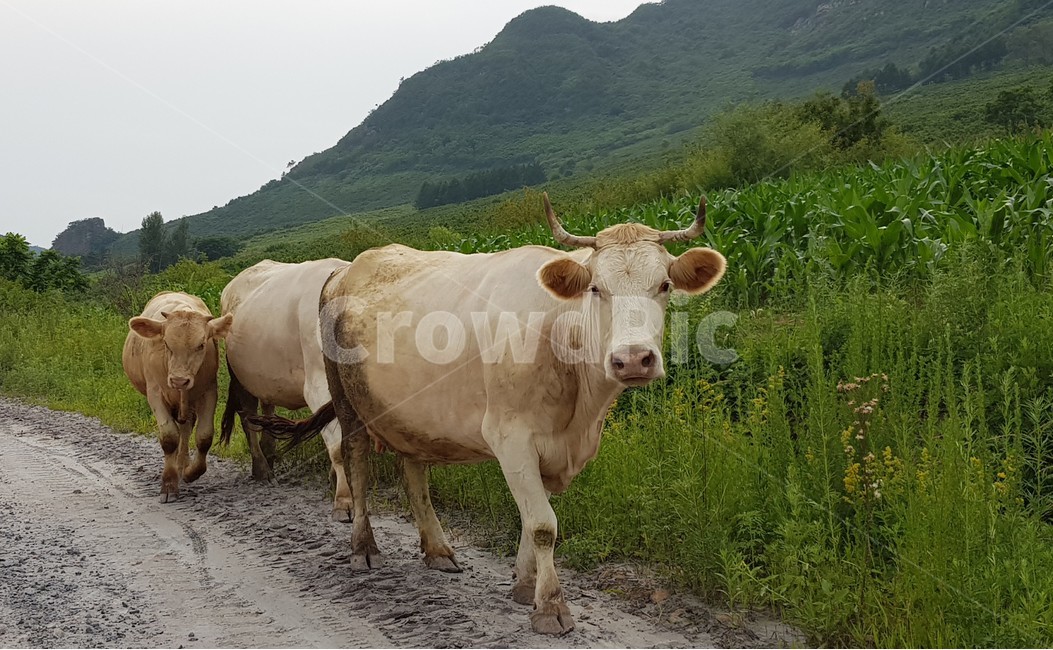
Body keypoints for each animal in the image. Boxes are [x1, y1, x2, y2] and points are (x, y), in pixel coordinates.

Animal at [122, 291, 232, 503]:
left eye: (201, 345)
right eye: (166, 343)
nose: (179, 380)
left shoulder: (209, 392)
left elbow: (204, 436)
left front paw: (191, 472)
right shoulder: (155, 393)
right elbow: (169, 437)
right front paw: (169, 484)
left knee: (186, 428)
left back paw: (182, 465)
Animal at [219, 258, 355, 521]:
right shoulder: (319, 388)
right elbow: (338, 447)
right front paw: (343, 500)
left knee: (266, 411)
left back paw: (269, 455)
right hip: (241, 379)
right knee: (248, 420)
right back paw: (262, 469)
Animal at [254, 194, 726, 635]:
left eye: (665, 285)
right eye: (596, 289)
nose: (632, 360)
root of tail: (344, 270)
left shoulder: (552, 445)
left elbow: (532, 521)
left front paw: (524, 585)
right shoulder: (510, 436)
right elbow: (543, 524)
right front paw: (550, 606)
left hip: (409, 413)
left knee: (414, 476)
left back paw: (437, 549)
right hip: (347, 401)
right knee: (356, 463)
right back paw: (363, 547)